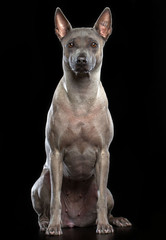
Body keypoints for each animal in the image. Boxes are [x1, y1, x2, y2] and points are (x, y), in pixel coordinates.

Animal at [31, 7, 132, 234]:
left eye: (94, 44)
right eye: (70, 44)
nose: (81, 60)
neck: (82, 97)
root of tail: (75, 221)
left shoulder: (103, 154)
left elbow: (101, 199)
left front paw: (103, 225)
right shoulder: (56, 154)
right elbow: (55, 200)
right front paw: (53, 226)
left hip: (107, 189)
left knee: (105, 200)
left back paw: (115, 220)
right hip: (41, 181)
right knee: (43, 209)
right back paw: (46, 222)